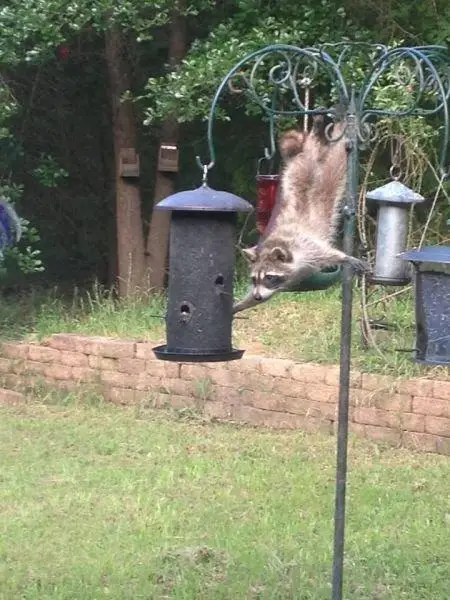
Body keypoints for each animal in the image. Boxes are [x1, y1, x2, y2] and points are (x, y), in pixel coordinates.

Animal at [233, 119, 367, 314]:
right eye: (254, 279)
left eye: (269, 277)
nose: (257, 296)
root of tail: (303, 155)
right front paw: (240, 304)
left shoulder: (306, 246)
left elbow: (328, 253)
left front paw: (345, 257)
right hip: (292, 171)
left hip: (316, 178)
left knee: (334, 165)